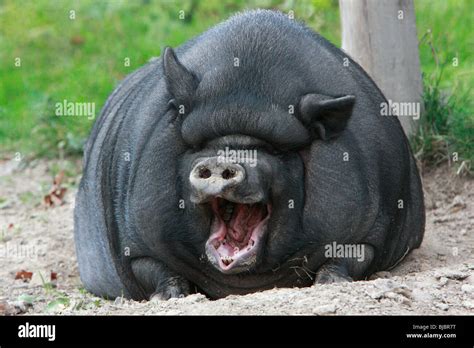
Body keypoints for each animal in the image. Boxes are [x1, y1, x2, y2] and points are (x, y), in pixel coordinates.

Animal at [75, 10, 426, 300]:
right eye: (201, 145)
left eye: (274, 150)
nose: (220, 162)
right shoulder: (134, 242)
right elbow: (152, 267)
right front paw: (167, 297)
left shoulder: (370, 231)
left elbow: (351, 256)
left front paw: (330, 283)